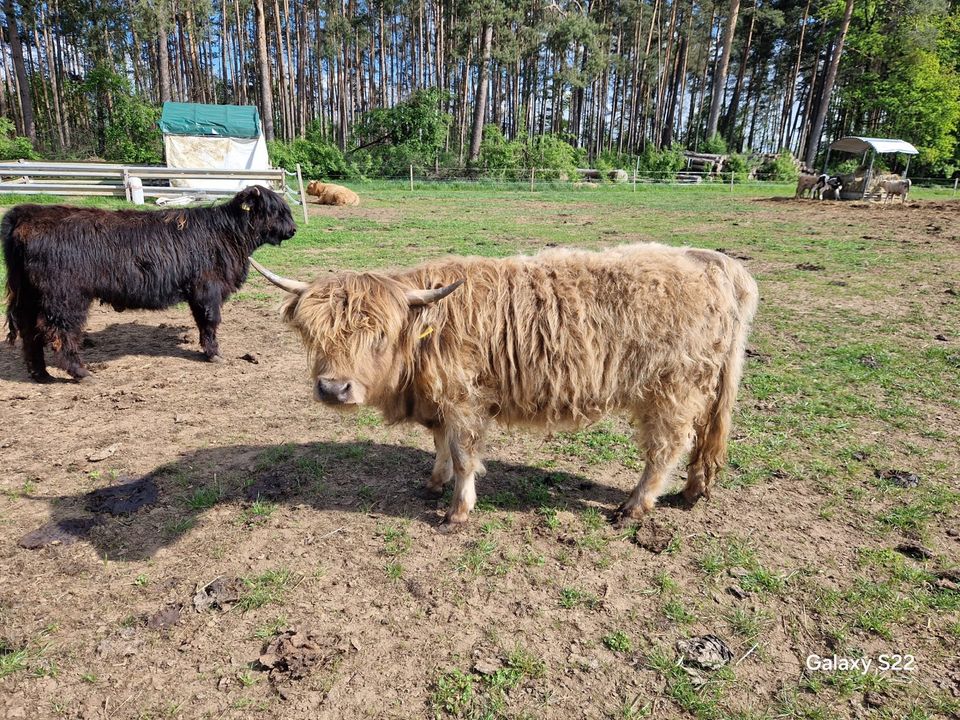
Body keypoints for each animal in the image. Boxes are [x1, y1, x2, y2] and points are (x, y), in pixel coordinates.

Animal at [1, 184, 296, 382]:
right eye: (275, 211)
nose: (293, 230)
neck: (228, 234)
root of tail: (27, 213)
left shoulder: (196, 292)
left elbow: (201, 321)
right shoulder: (208, 289)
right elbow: (210, 321)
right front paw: (214, 354)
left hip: (29, 296)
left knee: (30, 333)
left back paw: (41, 374)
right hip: (65, 297)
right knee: (60, 332)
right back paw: (80, 372)